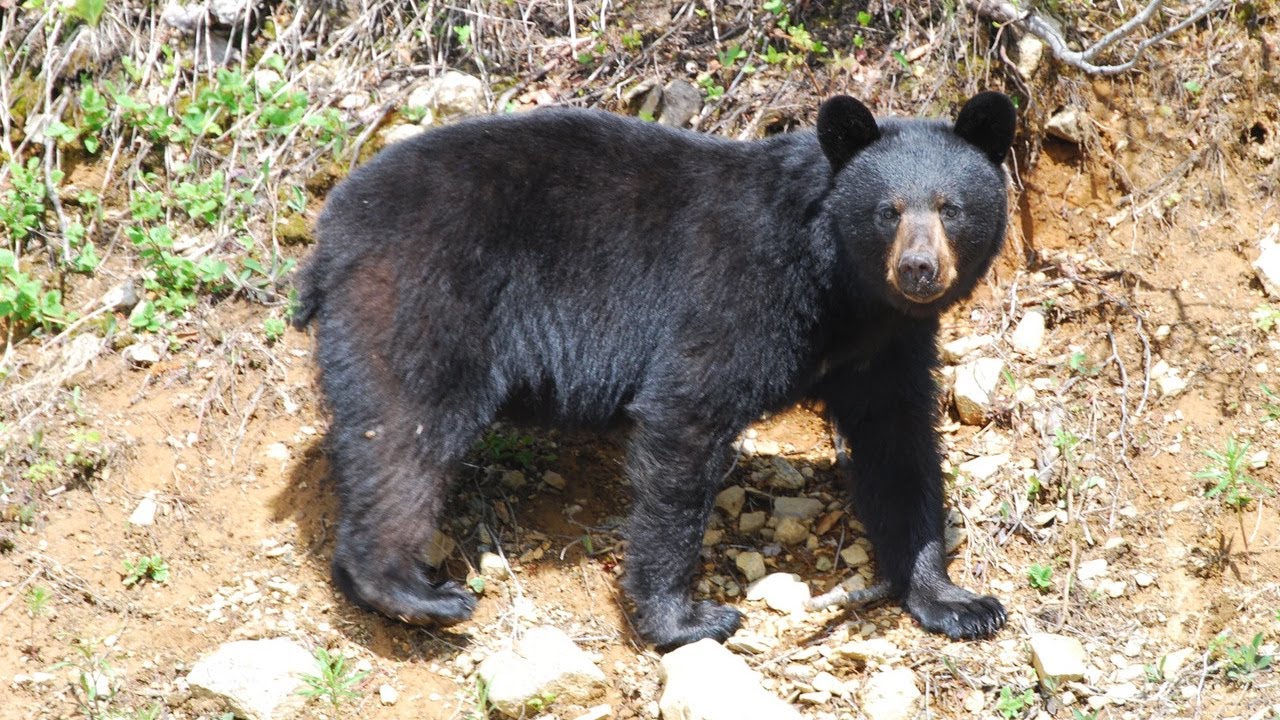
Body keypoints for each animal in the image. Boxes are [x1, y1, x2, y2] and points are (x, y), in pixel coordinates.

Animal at [292, 91, 1017, 650]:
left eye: (950, 206)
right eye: (887, 210)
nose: (919, 269)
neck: (842, 290)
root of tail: (331, 231)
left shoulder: (886, 347)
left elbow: (899, 447)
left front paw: (956, 600)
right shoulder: (740, 292)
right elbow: (686, 416)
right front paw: (686, 619)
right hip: (424, 293)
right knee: (406, 430)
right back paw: (412, 590)